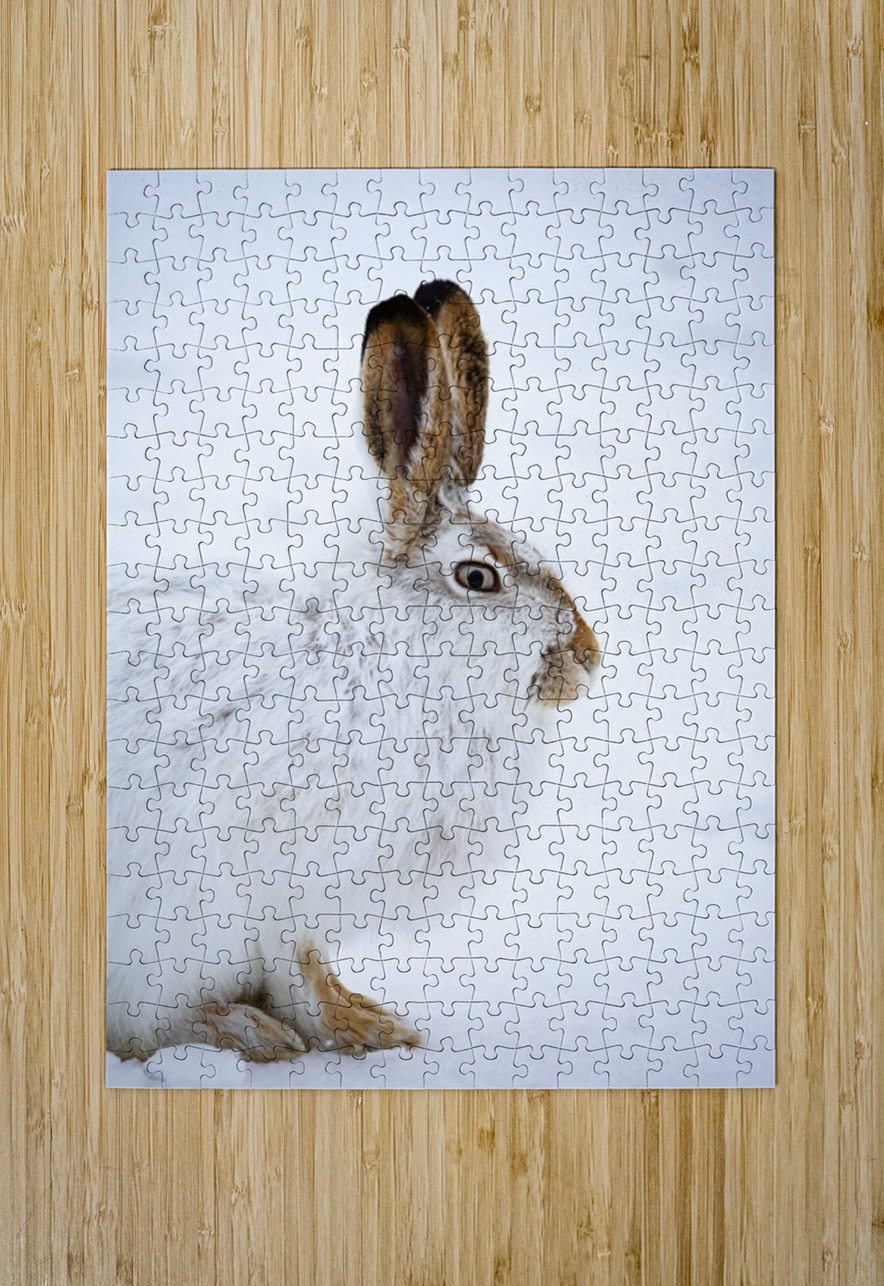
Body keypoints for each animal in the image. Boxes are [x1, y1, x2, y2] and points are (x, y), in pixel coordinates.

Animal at [106, 280, 600, 1063]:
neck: (394, 654)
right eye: (477, 577)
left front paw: (365, 1019)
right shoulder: (267, 885)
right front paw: (350, 1030)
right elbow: (294, 968)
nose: (587, 657)